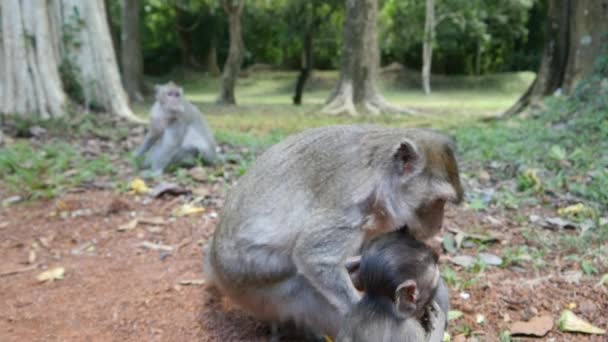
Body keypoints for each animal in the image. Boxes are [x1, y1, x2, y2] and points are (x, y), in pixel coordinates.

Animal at [202, 125, 464, 340]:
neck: (378, 177)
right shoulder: (349, 203)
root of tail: (214, 264)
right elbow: (312, 256)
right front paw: (366, 305)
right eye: (438, 201)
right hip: (260, 295)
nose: (439, 225)